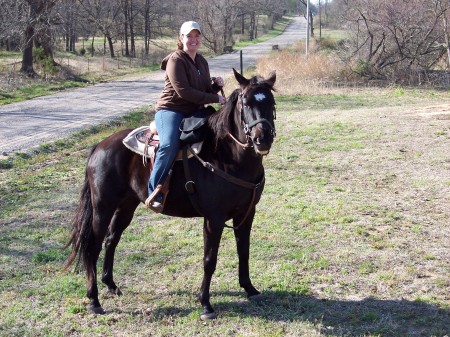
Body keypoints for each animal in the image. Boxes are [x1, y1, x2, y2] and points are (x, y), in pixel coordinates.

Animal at [66, 68, 278, 318]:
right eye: (245, 103)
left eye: (271, 102)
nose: (262, 138)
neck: (227, 155)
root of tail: (99, 146)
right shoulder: (213, 219)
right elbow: (209, 259)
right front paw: (205, 304)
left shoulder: (246, 213)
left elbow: (243, 250)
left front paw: (249, 288)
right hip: (103, 206)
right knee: (93, 246)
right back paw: (94, 300)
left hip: (126, 205)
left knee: (111, 239)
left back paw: (111, 285)